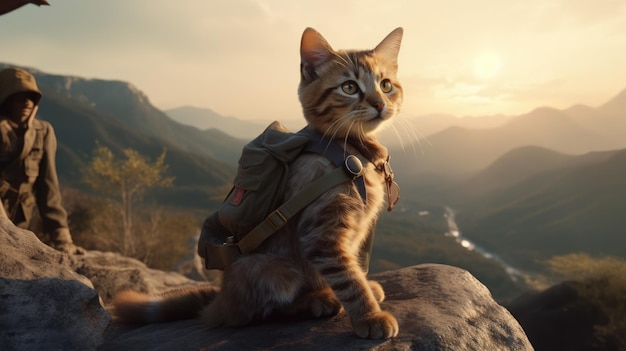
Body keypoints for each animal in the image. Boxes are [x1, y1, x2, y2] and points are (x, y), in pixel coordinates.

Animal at [111, 26, 404, 340]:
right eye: (349, 87)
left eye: (386, 85)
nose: (380, 103)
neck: (351, 153)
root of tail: (220, 297)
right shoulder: (321, 236)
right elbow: (347, 277)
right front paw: (370, 315)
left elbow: (354, 267)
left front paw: (367, 290)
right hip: (270, 268)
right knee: (253, 314)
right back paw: (317, 300)